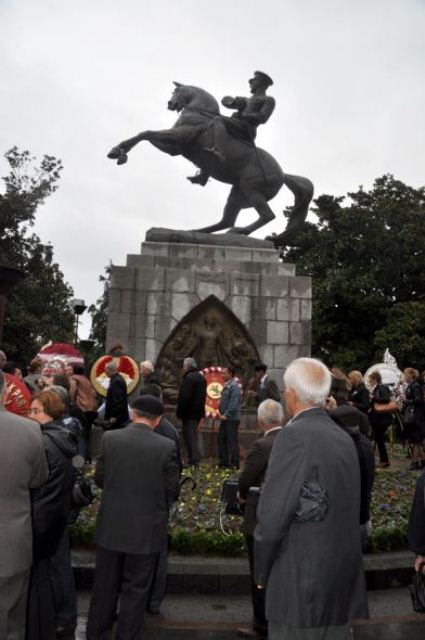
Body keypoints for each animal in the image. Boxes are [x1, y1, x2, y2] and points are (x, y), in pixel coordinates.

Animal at [107, 84, 312, 244]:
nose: (170, 104)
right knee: (226, 220)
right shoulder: (173, 148)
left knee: (266, 215)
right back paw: (195, 233)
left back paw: (237, 232)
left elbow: (146, 133)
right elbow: (146, 135)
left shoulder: (178, 138)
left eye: (177, 91)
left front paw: (117, 151)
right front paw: (120, 152)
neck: (199, 114)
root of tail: (283, 174)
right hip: (237, 194)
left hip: (251, 189)